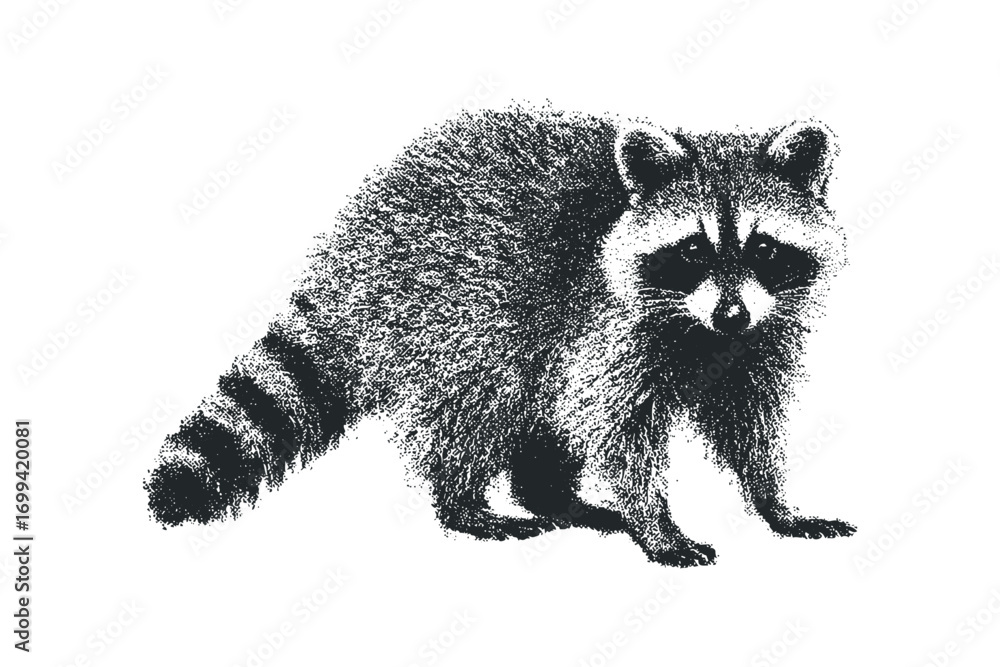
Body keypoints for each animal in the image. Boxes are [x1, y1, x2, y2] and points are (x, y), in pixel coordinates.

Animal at [145, 107, 854, 567]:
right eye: (692, 251)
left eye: (764, 248)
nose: (732, 313)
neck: (702, 330)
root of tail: (357, 235)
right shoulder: (607, 326)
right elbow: (617, 429)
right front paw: (654, 522)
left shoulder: (755, 339)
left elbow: (747, 421)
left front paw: (773, 500)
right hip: (452, 315)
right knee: (475, 410)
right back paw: (464, 503)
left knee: (538, 414)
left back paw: (557, 498)